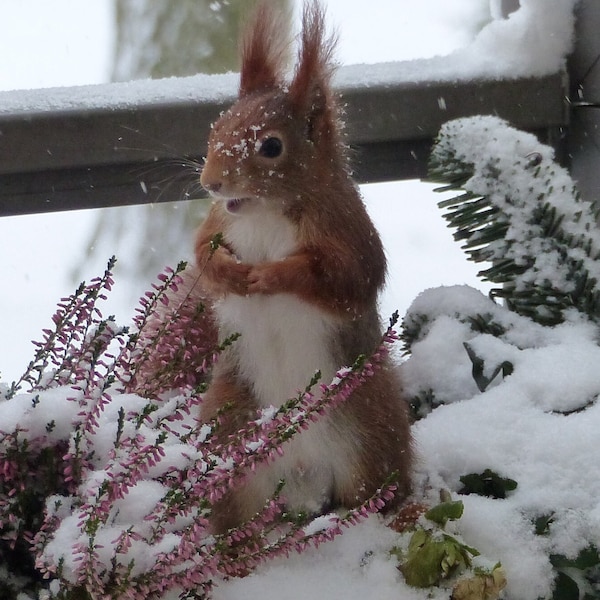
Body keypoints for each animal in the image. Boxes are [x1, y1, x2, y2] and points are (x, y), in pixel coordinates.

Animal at [195, 0, 410, 536]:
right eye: (215, 129)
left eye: (271, 147)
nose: (211, 183)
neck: (267, 211)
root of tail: (302, 479)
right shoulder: (218, 223)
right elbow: (203, 254)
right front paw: (231, 273)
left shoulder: (348, 233)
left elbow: (346, 278)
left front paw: (272, 275)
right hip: (227, 439)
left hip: (371, 433)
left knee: (376, 492)